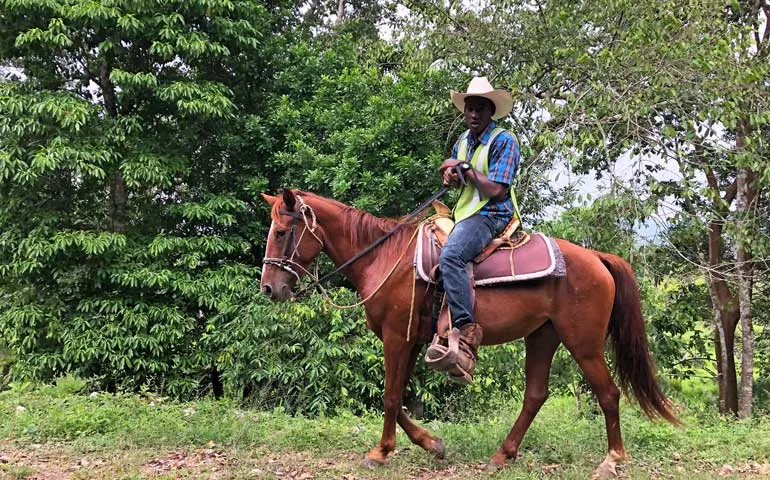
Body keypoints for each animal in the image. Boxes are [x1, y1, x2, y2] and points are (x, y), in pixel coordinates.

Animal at [260, 188, 676, 476]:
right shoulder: (412, 341)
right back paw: (503, 455)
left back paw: (611, 460)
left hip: (583, 342)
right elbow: (398, 399)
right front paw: (432, 443)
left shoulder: (397, 337)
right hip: (543, 335)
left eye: (281, 232)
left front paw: (380, 452)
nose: (269, 289)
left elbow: (390, 398)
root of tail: (598, 258)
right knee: (535, 395)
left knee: (608, 393)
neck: (383, 257)